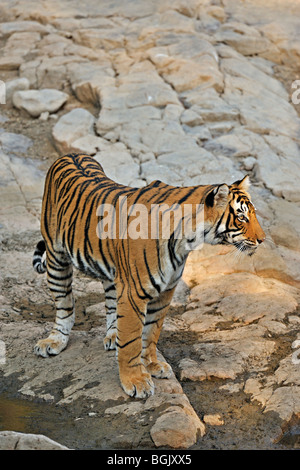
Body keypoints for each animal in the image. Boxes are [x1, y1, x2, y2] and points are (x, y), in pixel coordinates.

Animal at [31, 152, 264, 398]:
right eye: (241, 218)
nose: (263, 239)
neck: (186, 240)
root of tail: (71, 154)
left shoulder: (165, 290)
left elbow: (151, 332)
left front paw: (152, 364)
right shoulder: (133, 292)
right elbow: (132, 339)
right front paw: (135, 381)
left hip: (111, 269)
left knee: (110, 300)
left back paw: (113, 336)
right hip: (56, 257)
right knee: (64, 304)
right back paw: (54, 341)